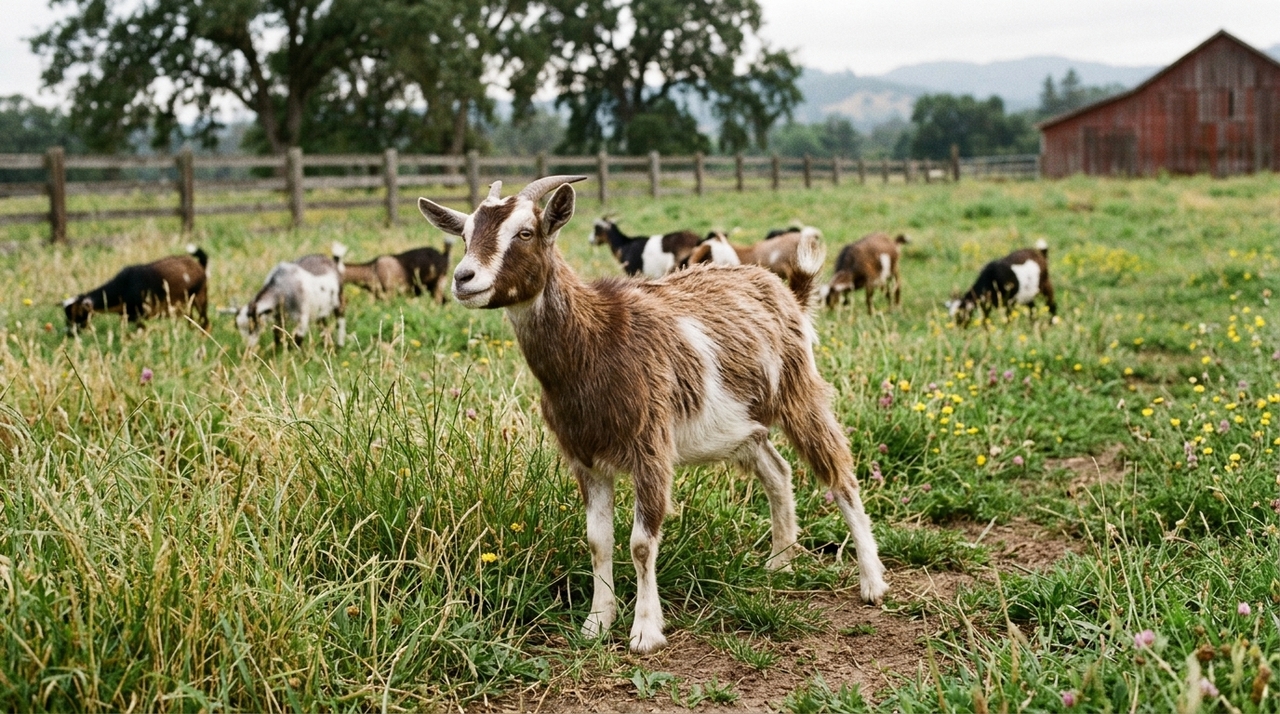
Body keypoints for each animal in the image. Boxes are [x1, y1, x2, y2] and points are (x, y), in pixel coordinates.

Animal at [62, 244, 209, 335]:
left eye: (77, 313)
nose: (69, 333)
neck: (123, 286)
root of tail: (199, 265)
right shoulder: (128, 315)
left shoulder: (140, 314)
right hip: (188, 305)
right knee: (192, 321)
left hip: (200, 297)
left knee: (205, 322)